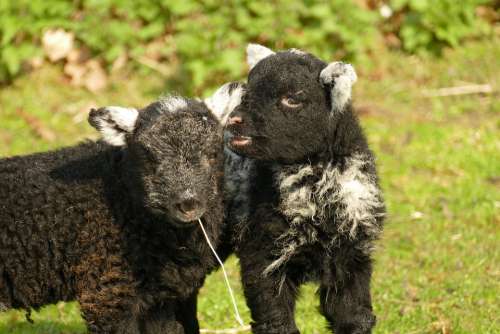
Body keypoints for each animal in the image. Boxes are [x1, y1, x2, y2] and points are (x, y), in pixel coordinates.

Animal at [225, 44, 384, 334]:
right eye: (247, 91)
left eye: (292, 99)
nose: (234, 120)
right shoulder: (262, 253)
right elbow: (276, 320)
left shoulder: (351, 254)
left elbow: (354, 316)